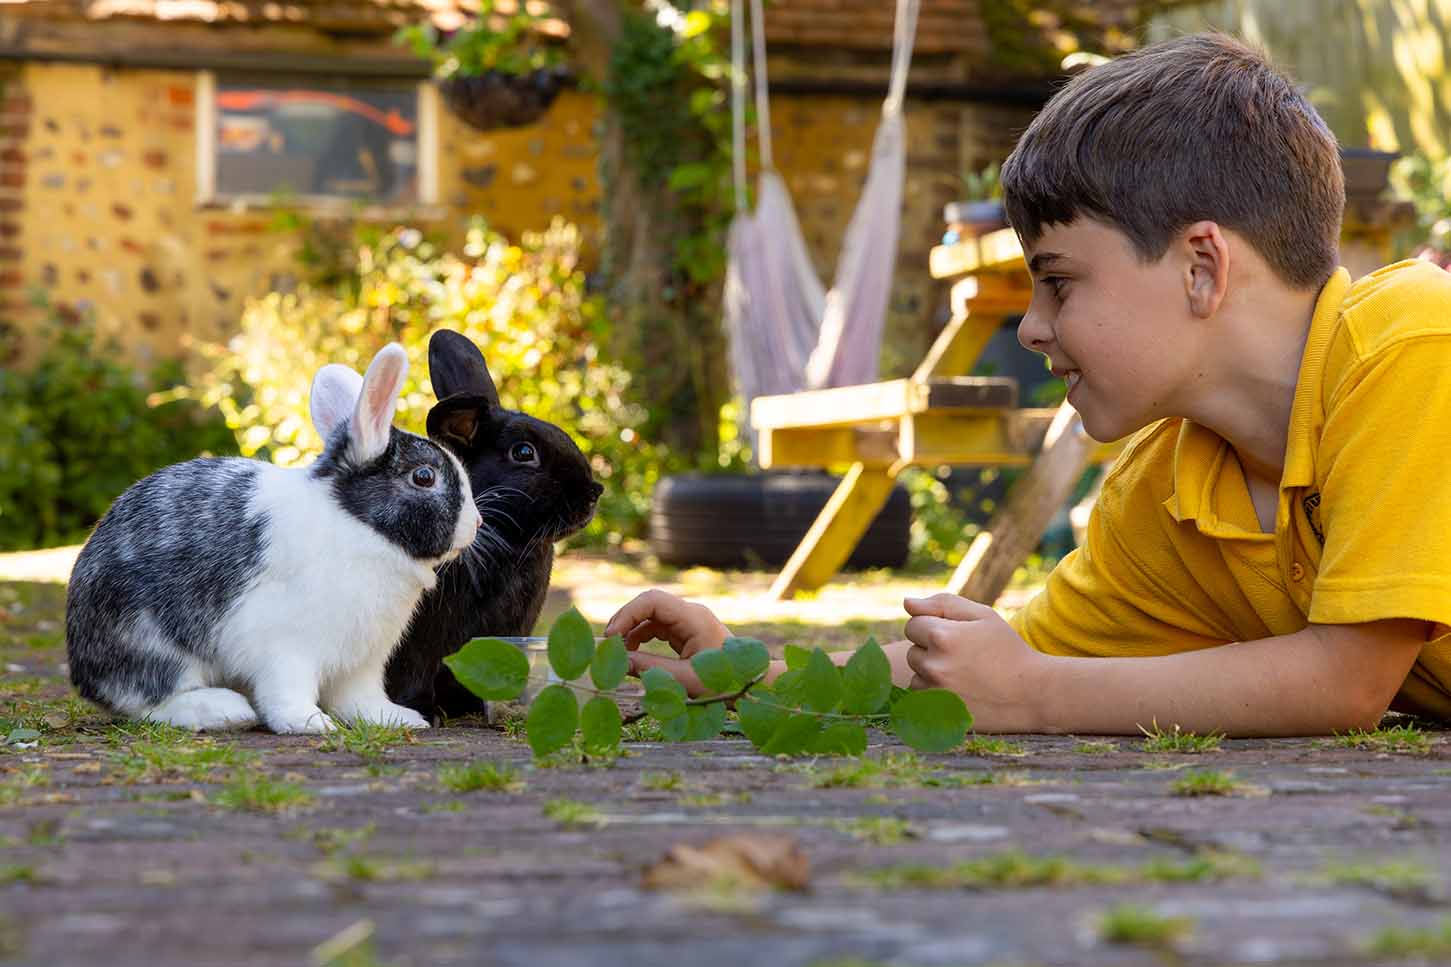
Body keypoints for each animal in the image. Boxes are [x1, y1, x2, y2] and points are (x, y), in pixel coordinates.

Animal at [65, 343, 483, 734]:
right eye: (424, 477)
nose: (476, 523)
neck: (357, 526)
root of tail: (83, 667)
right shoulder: (286, 648)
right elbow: (287, 691)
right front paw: (310, 723)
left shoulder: (361, 661)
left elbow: (358, 698)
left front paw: (396, 718)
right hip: (152, 642)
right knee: (148, 700)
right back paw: (224, 711)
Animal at [385, 329, 604, 721]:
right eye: (523, 453)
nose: (593, 492)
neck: (510, 543)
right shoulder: (417, 640)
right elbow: (412, 674)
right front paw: (425, 713)